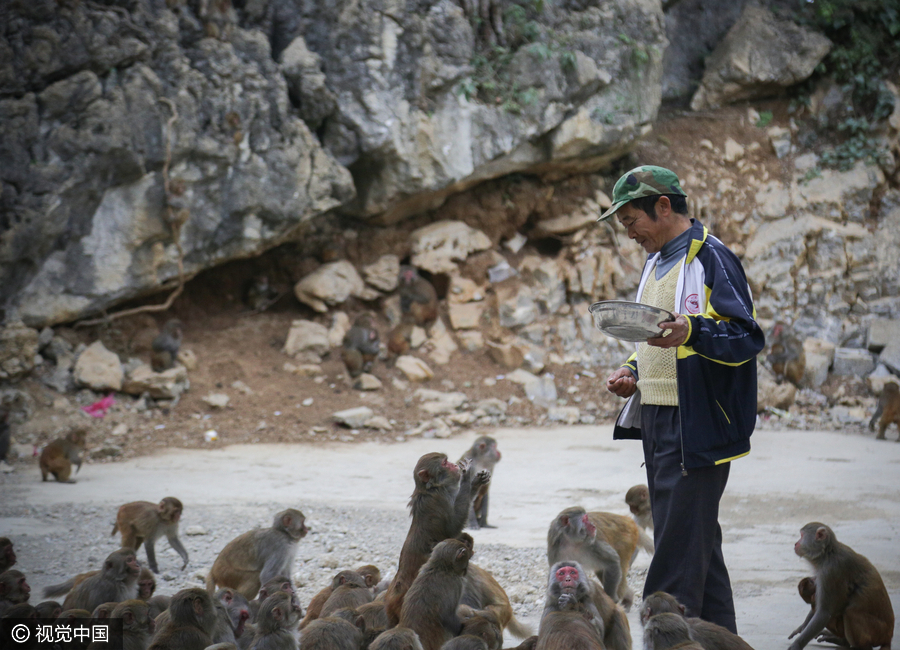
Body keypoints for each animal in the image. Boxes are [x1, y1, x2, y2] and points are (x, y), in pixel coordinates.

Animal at [384, 453, 490, 626]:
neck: (433, 488)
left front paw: (476, 481)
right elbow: (453, 527)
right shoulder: (440, 500)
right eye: (445, 463)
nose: (454, 465)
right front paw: (467, 476)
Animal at [788, 522, 894, 650]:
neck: (827, 554)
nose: (795, 543)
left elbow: (824, 613)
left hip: (876, 631)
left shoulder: (830, 571)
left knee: (850, 611)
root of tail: (888, 637)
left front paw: (797, 645)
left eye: (801, 535)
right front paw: (802, 628)